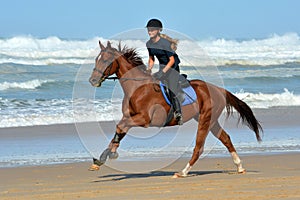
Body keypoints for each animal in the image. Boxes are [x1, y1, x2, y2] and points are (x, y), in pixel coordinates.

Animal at [88, 40, 262, 178]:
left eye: (106, 60)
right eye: (97, 59)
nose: (92, 80)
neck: (137, 88)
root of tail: (218, 89)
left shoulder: (144, 119)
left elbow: (120, 127)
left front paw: (109, 154)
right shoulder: (129, 117)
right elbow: (120, 130)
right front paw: (103, 157)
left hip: (205, 119)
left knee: (199, 147)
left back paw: (183, 172)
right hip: (209, 120)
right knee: (225, 138)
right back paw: (239, 167)